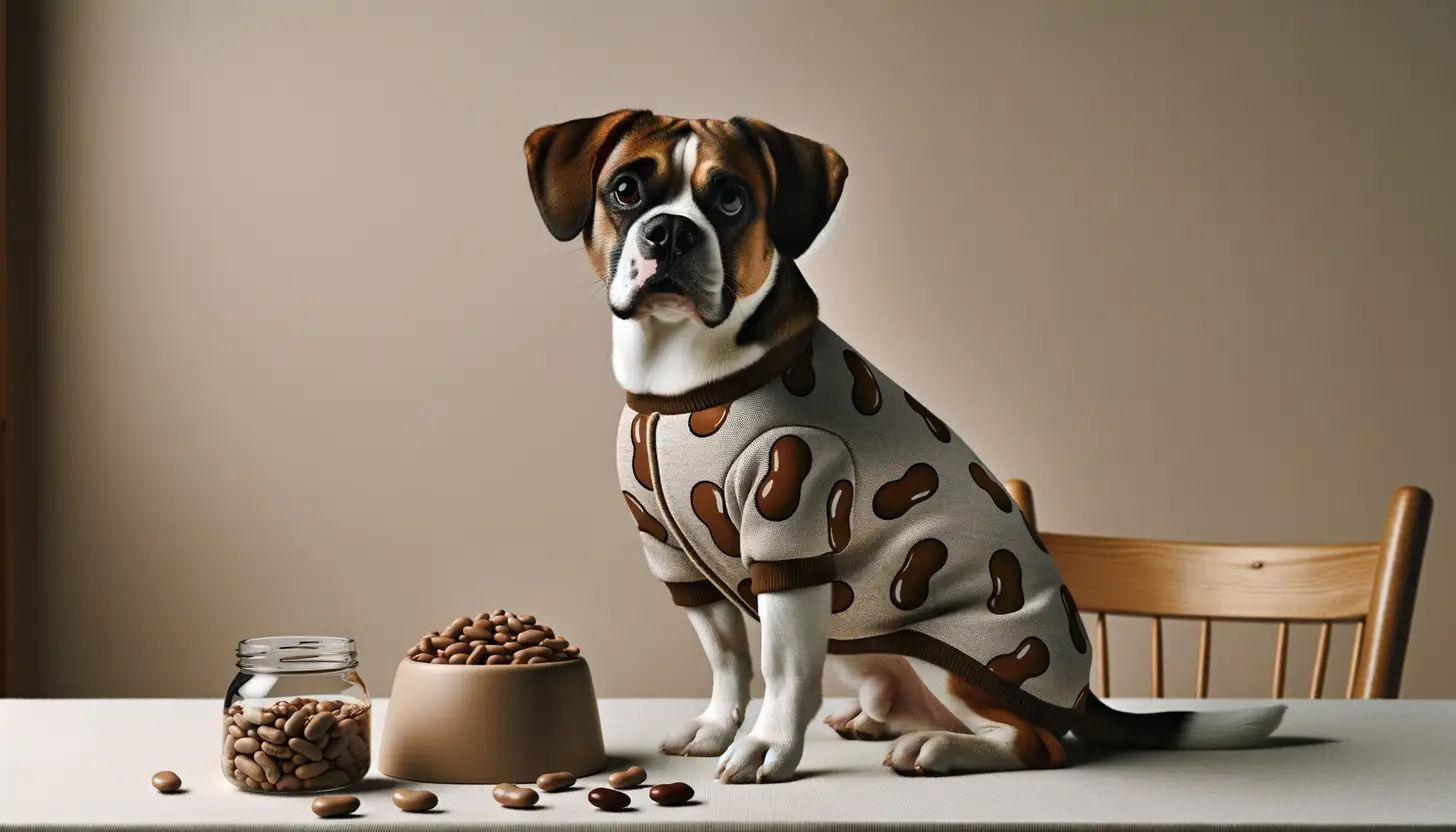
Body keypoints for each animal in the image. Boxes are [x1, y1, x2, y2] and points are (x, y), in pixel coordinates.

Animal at [524, 112, 1287, 786]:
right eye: (626, 190)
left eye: (732, 199)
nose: (672, 231)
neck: (679, 381)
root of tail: (1080, 694)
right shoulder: (675, 556)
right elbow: (728, 660)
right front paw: (717, 726)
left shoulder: (792, 536)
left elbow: (781, 670)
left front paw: (768, 747)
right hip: (857, 639)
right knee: (894, 693)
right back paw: (880, 720)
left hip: (956, 656)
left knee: (1036, 743)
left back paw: (942, 748)